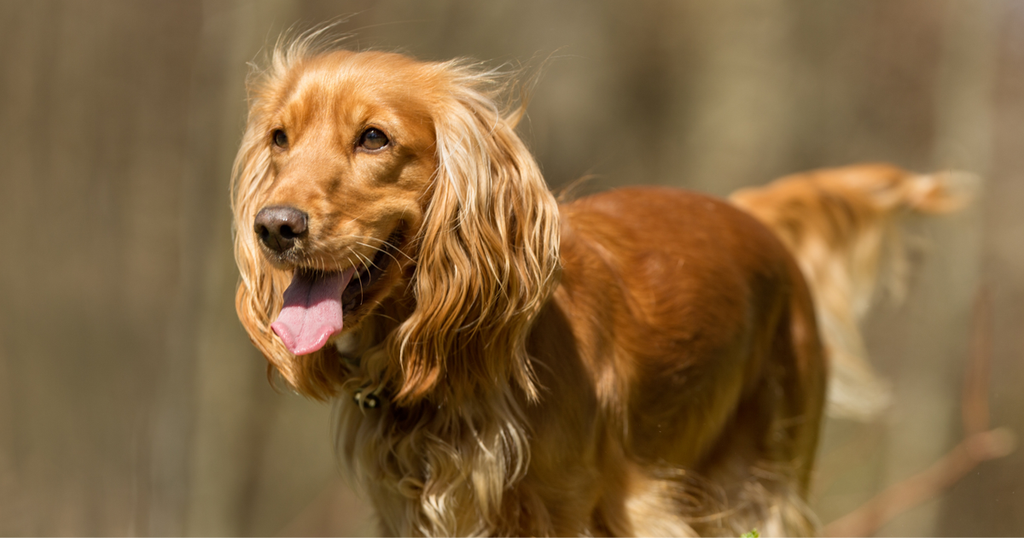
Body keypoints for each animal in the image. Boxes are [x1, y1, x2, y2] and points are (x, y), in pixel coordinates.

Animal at [230, 35, 958, 532]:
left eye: (374, 138)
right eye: (280, 138)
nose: (274, 226)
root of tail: (751, 214)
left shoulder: (591, 506)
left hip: (761, 481)